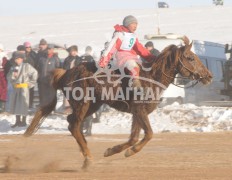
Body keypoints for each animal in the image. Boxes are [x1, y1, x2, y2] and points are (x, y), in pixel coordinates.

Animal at [24, 36, 212, 169]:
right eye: (190, 57)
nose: (209, 76)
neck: (151, 78)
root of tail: (65, 73)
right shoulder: (140, 111)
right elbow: (149, 134)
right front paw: (129, 152)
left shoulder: (138, 113)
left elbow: (134, 137)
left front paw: (112, 151)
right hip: (82, 103)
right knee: (75, 125)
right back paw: (87, 158)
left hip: (93, 105)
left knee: (72, 123)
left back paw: (86, 154)